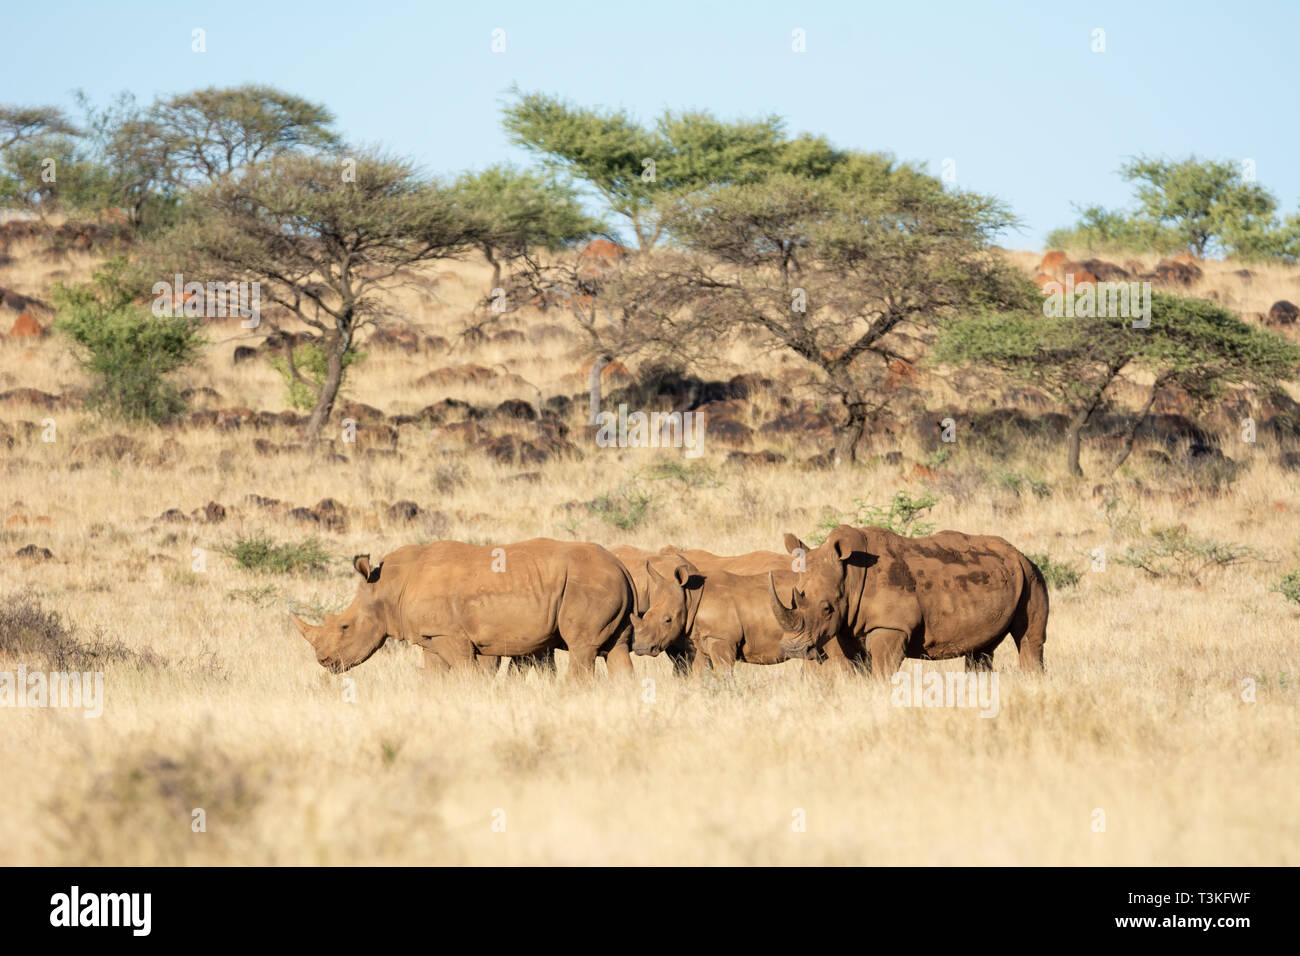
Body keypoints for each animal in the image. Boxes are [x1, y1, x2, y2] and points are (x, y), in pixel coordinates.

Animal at [293, 538, 639, 681]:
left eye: (345, 627)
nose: (324, 662)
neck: (388, 588)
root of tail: (621, 566)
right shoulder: (432, 638)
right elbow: (435, 676)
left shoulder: (450, 635)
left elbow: (465, 673)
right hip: (607, 583)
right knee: (616, 649)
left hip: (587, 584)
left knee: (583, 647)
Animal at [764, 528, 1050, 676]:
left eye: (826, 609)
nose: (793, 650)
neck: (850, 576)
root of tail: (1019, 553)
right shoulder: (847, 626)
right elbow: (856, 668)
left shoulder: (892, 626)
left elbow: (882, 670)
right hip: (1009, 576)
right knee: (981, 649)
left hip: (1031, 575)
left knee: (1028, 639)